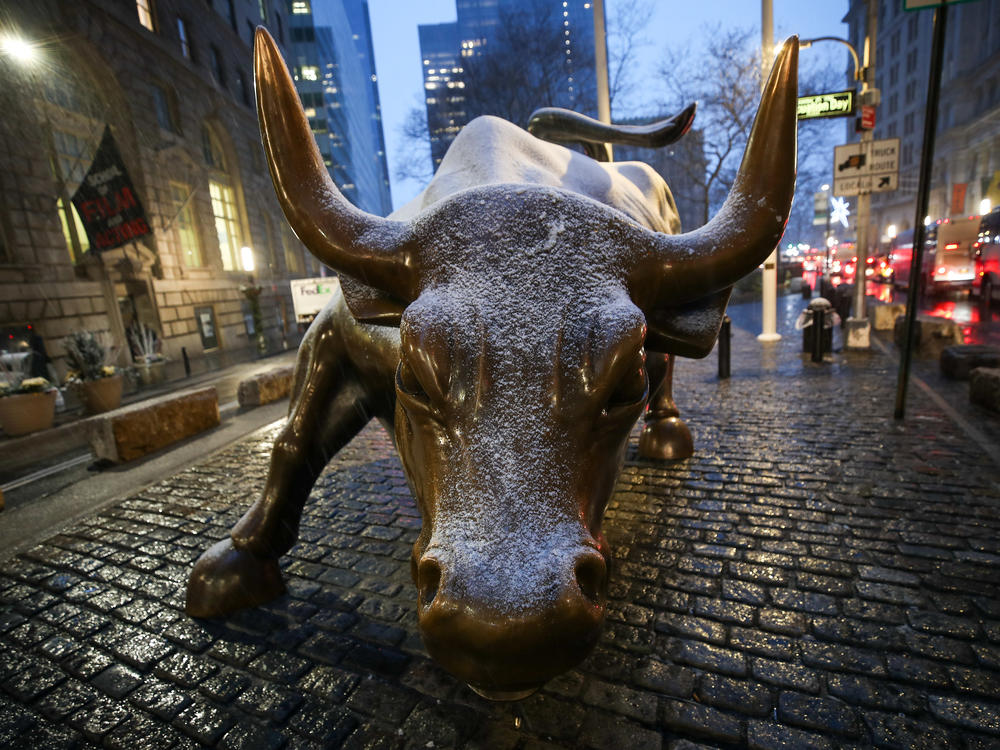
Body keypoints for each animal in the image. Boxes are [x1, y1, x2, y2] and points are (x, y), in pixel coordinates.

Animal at [186, 26, 796, 704]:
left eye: (623, 384)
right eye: (413, 376)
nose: (505, 619)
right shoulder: (332, 335)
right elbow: (292, 441)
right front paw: (239, 558)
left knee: (672, 368)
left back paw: (666, 432)